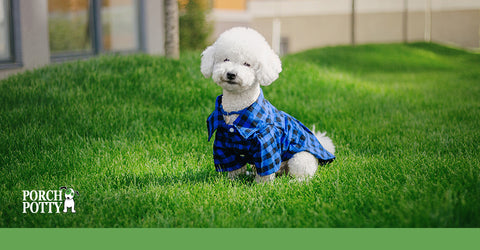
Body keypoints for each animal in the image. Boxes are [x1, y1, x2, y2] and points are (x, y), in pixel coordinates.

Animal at [202, 27, 334, 183]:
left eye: (247, 64)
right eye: (226, 59)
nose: (231, 74)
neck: (237, 109)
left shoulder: (266, 144)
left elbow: (265, 169)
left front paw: (261, 185)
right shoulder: (223, 144)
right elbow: (233, 167)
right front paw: (232, 181)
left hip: (300, 159)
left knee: (304, 174)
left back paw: (295, 181)